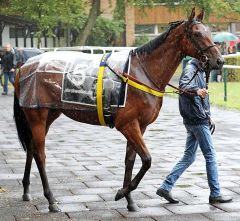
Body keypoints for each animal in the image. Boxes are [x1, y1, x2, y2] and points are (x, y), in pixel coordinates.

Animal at [13, 8, 223, 212]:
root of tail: (25, 65)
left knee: (31, 148)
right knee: (40, 154)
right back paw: (51, 200)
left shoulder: (139, 126)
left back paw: (26, 190)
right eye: (197, 34)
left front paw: (130, 200)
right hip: (37, 116)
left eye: (209, 32)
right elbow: (147, 159)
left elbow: (130, 160)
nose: (219, 61)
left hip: (49, 114)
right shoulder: (127, 124)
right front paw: (122, 192)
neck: (142, 72)